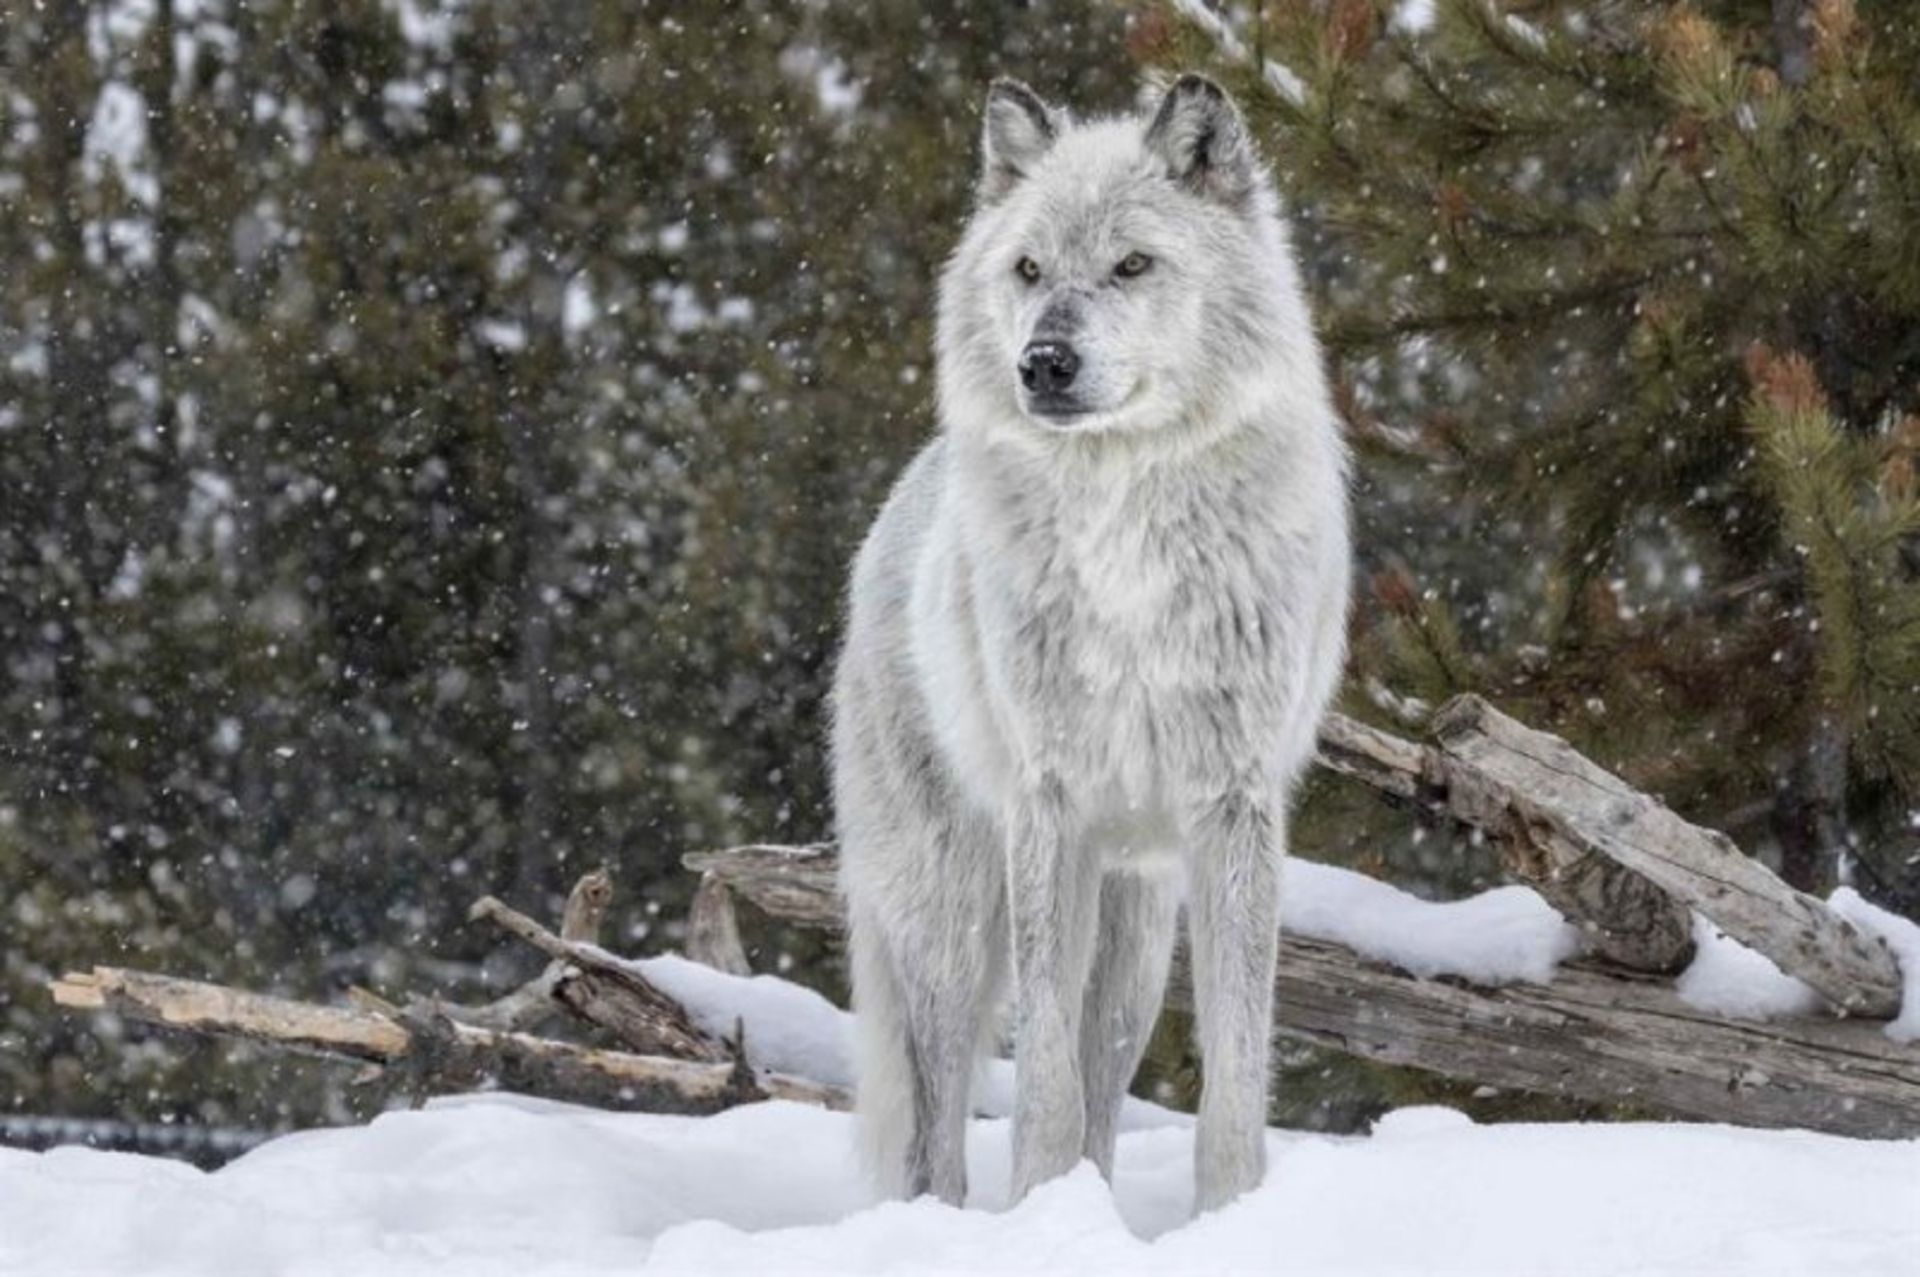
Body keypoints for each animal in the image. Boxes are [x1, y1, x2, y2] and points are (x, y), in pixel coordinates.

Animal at [831, 73, 1351, 1216]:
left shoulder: (1232, 808)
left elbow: (1235, 1072)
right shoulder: (1050, 806)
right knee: (938, 1125)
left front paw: (1231, 1215)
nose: (1044, 362)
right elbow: (1043, 1083)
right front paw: (1040, 1210)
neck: (1128, 534)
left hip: (1138, 934)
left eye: (1132, 265)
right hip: (952, 916)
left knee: (1106, 1065)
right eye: (1029, 269)